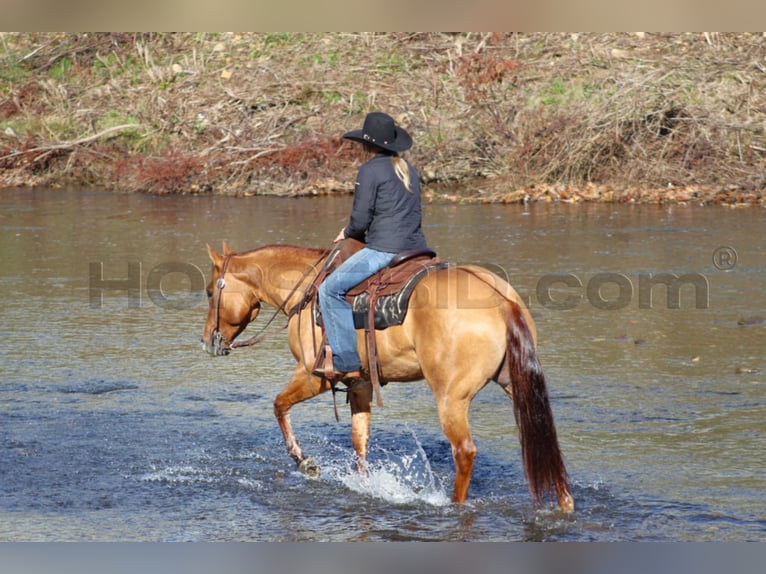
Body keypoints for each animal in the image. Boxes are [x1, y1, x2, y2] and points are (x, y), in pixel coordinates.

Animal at [204, 241, 576, 516]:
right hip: (517, 385)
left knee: (464, 451)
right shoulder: (360, 383)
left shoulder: (313, 376)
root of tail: (501, 301)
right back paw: (565, 503)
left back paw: (454, 505)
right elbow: (360, 440)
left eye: (209, 292)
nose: (208, 341)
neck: (307, 292)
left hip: (451, 398)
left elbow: (279, 406)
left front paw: (305, 462)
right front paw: (364, 484)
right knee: (544, 435)